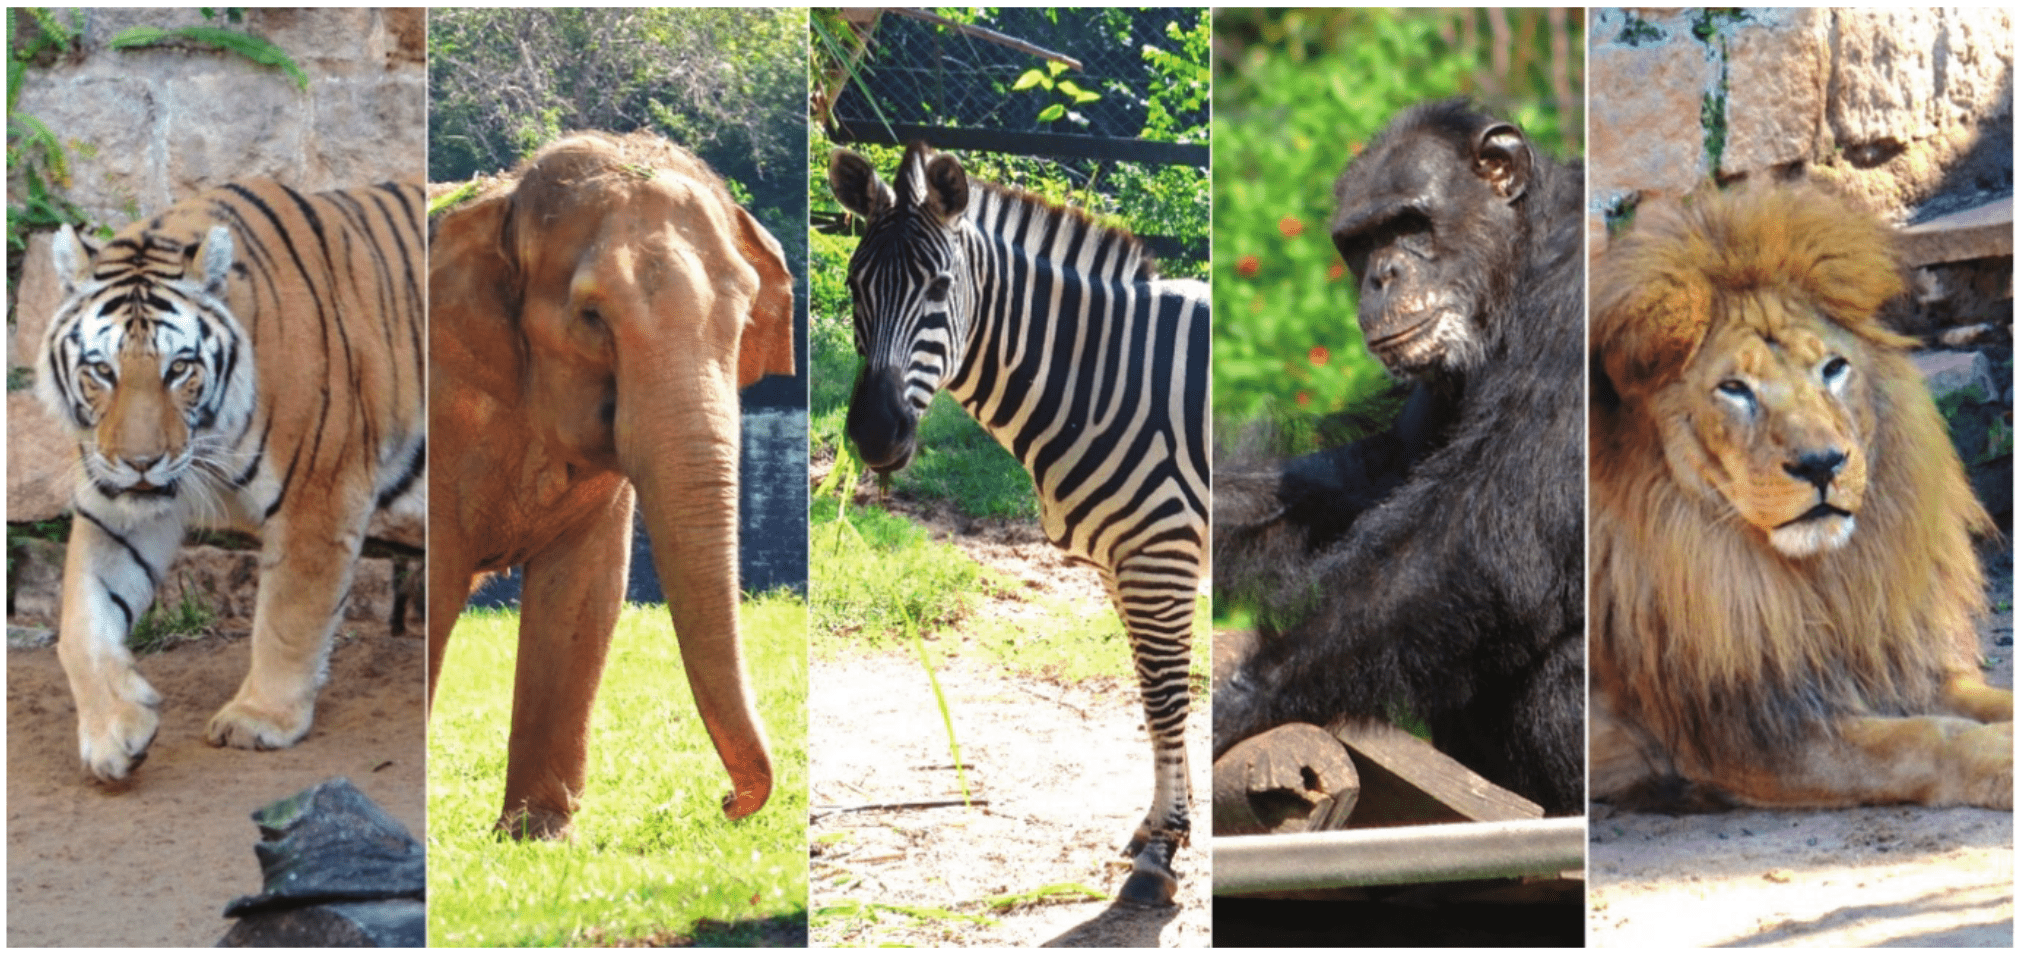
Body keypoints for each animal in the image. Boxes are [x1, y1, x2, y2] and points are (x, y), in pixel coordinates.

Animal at [33, 179, 426, 783]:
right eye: (102, 370)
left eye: (178, 369)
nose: (141, 462)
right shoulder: (114, 507)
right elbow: (80, 620)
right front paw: (115, 733)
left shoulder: (318, 493)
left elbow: (289, 615)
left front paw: (259, 719)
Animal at [1588, 184, 2012, 811]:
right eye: (1734, 389)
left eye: (1833, 368)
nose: (1821, 464)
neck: (1815, 583)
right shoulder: (1746, 734)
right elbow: (1924, 740)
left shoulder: (1884, 663)